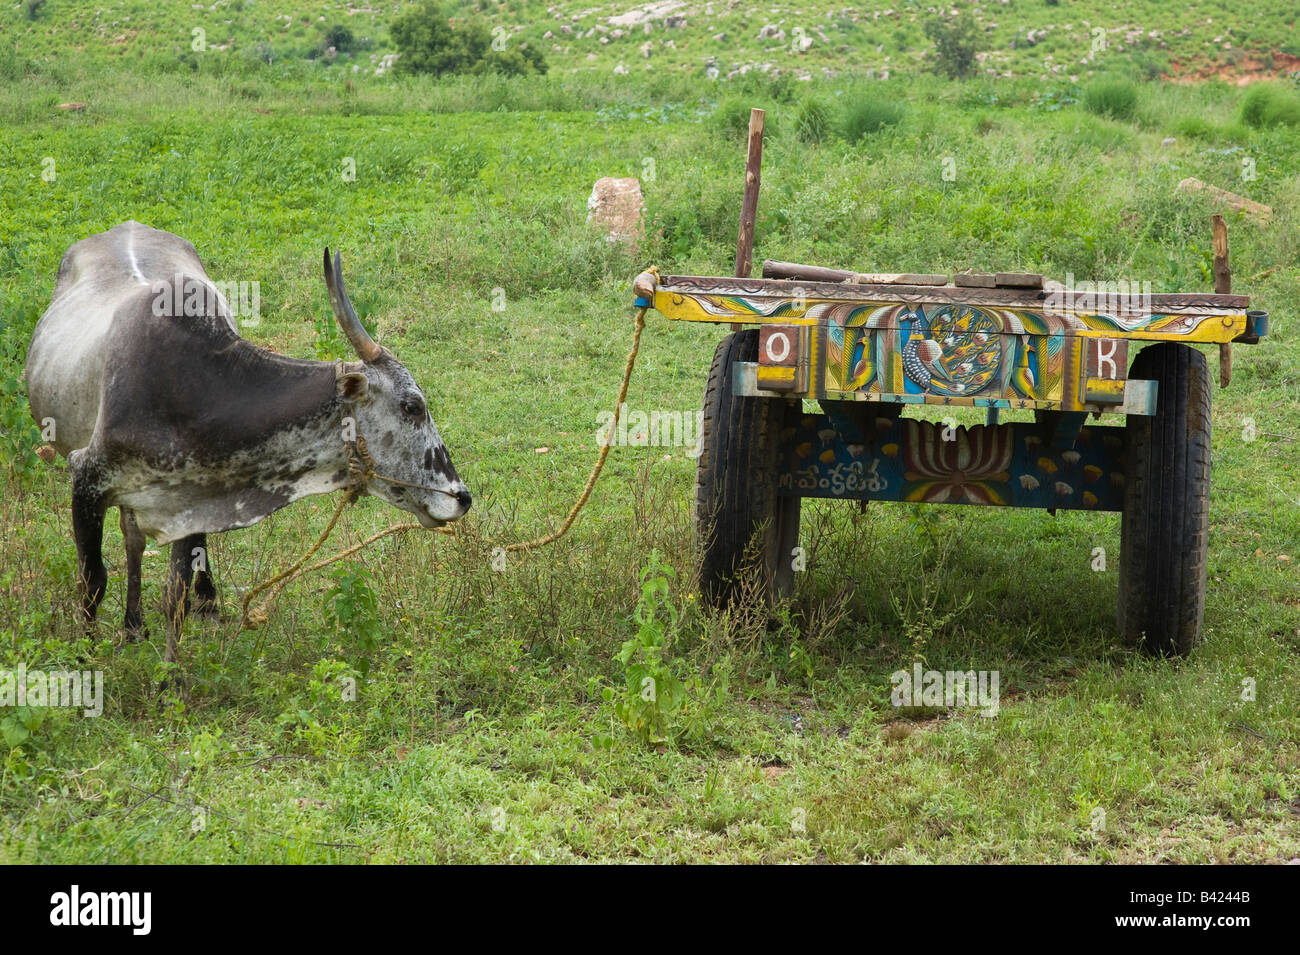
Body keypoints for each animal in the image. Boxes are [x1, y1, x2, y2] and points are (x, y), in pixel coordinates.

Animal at [27, 220, 473, 670]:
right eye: (413, 406)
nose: (461, 497)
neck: (194, 392)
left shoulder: (190, 501)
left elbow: (175, 596)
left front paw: (171, 674)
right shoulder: (86, 479)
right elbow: (93, 580)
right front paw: (85, 658)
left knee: (140, 539)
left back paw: (161, 618)